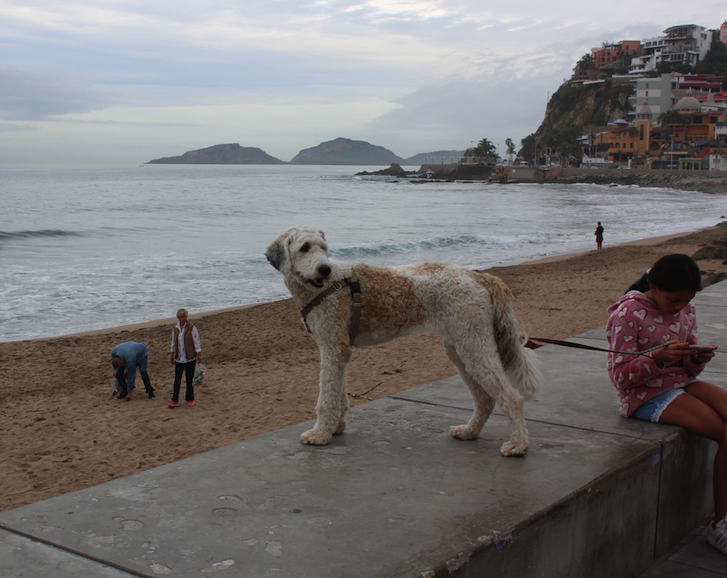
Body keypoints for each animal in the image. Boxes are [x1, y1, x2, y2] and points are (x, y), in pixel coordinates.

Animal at [266, 225, 540, 454]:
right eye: (304, 248)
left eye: (323, 248)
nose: (325, 268)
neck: (327, 286)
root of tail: (479, 277)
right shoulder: (339, 351)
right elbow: (339, 394)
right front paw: (336, 427)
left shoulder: (332, 348)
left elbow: (326, 398)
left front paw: (320, 434)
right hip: (460, 349)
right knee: (484, 399)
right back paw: (469, 432)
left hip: (474, 346)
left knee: (510, 397)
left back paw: (518, 445)